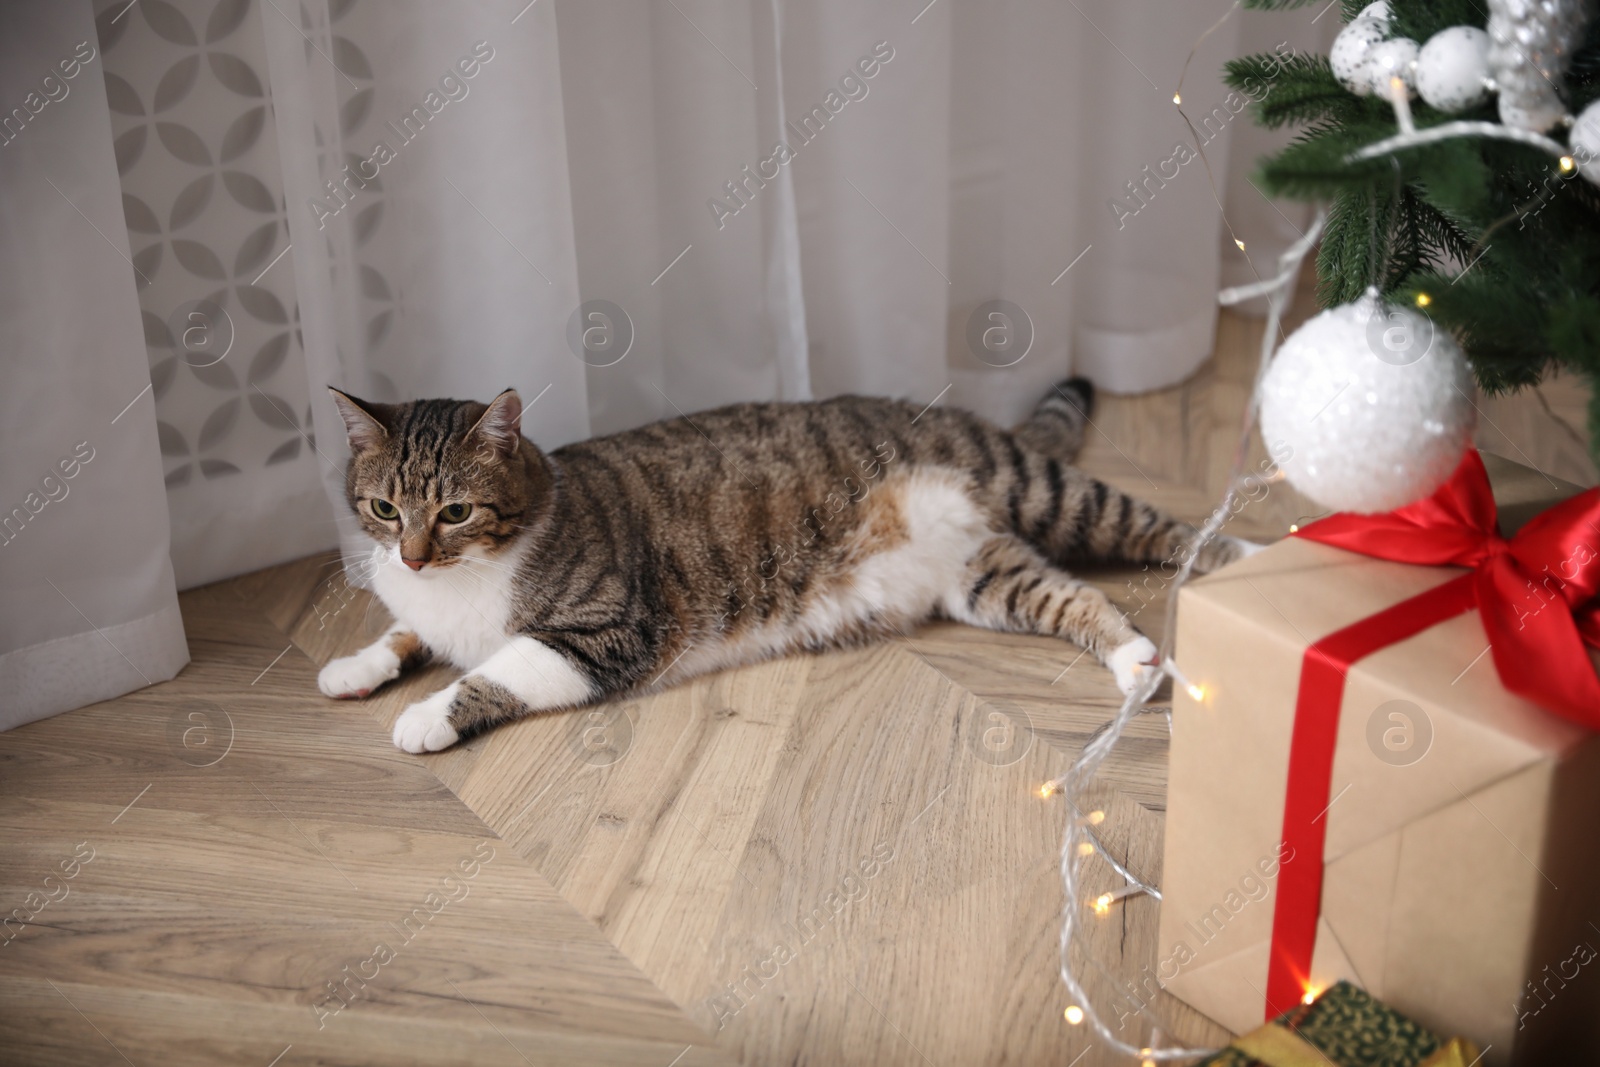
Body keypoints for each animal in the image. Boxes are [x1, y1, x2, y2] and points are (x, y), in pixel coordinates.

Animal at [318, 379, 1248, 755]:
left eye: (456, 512)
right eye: (384, 509)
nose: (411, 553)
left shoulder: (605, 632)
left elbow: (496, 669)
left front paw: (425, 714)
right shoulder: (421, 602)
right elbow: (404, 631)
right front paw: (354, 666)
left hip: (1049, 493)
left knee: (1165, 529)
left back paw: (1250, 560)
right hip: (986, 576)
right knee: (1074, 596)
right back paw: (1135, 659)